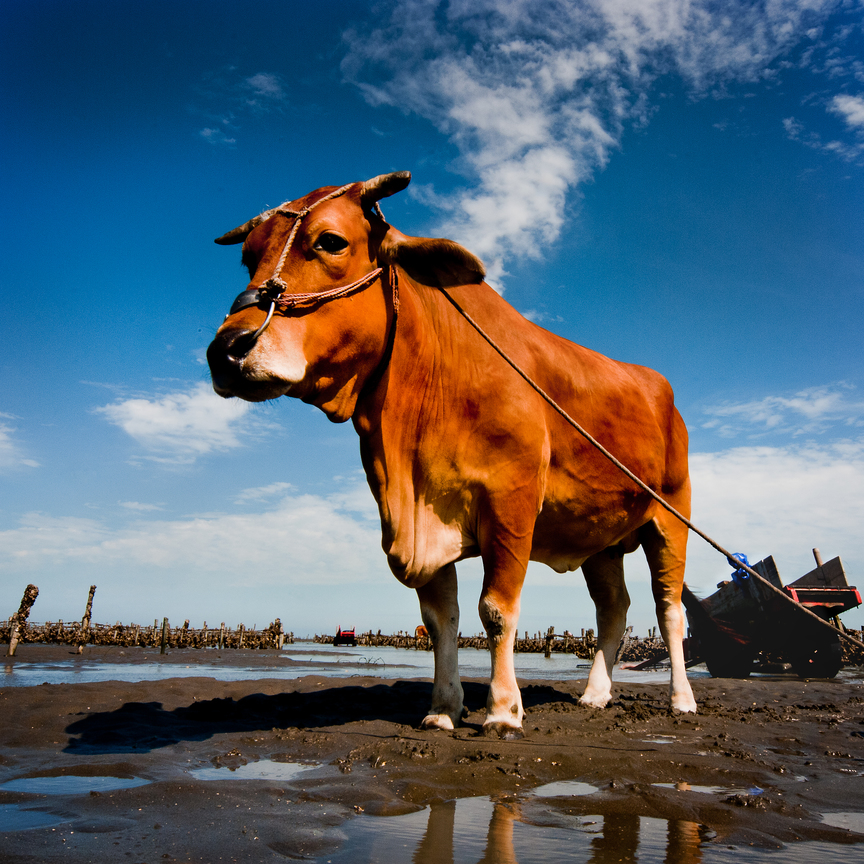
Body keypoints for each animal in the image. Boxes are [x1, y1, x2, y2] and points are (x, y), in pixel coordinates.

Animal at [211, 172, 704, 740]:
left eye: (331, 241)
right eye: (248, 257)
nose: (226, 349)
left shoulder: (511, 507)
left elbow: (496, 611)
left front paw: (503, 709)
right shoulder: (426, 516)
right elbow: (439, 619)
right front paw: (444, 707)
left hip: (671, 520)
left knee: (670, 611)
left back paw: (682, 700)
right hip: (599, 538)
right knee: (613, 608)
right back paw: (596, 694)